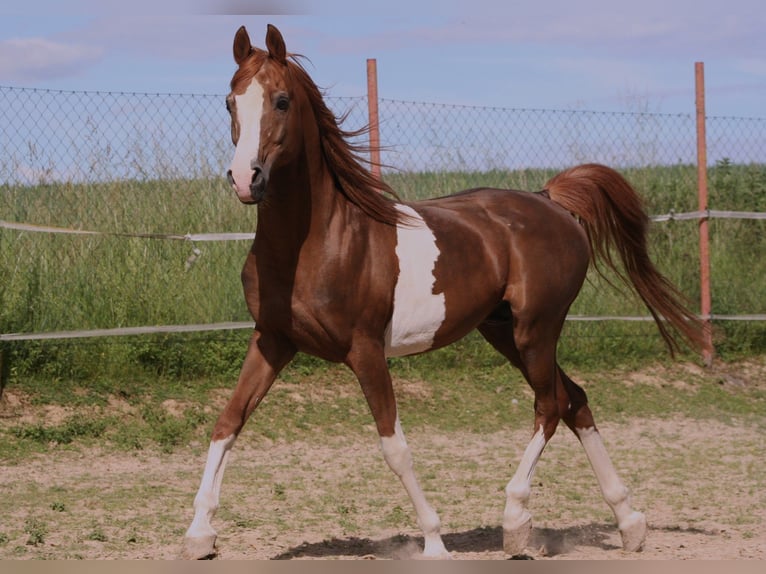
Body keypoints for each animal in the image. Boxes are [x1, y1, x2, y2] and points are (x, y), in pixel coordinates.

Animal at [182, 24, 706, 560]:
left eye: (282, 101)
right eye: (230, 101)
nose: (245, 179)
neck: (317, 242)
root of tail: (551, 201)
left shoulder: (366, 351)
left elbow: (394, 447)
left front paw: (434, 540)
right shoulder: (272, 340)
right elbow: (227, 423)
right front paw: (199, 534)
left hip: (537, 329)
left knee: (549, 406)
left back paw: (517, 522)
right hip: (502, 331)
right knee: (574, 399)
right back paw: (629, 522)